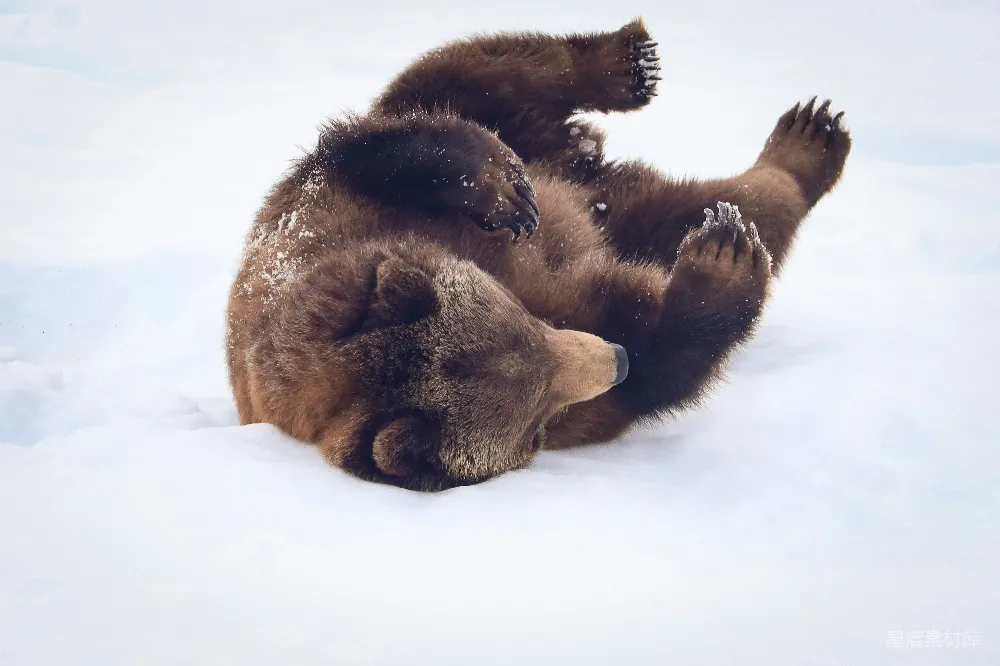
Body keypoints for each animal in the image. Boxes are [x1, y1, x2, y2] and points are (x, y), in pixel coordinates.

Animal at [225, 18, 851, 491]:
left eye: (523, 321)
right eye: (538, 415)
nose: (614, 359)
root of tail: (582, 169)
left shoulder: (321, 215)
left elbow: (394, 146)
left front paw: (500, 192)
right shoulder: (593, 391)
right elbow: (666, 356)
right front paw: (721, 263)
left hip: (517, 134)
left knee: (480, 73)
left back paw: (639, 68)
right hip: (623, 210)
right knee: (718, 207)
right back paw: (783, 173)